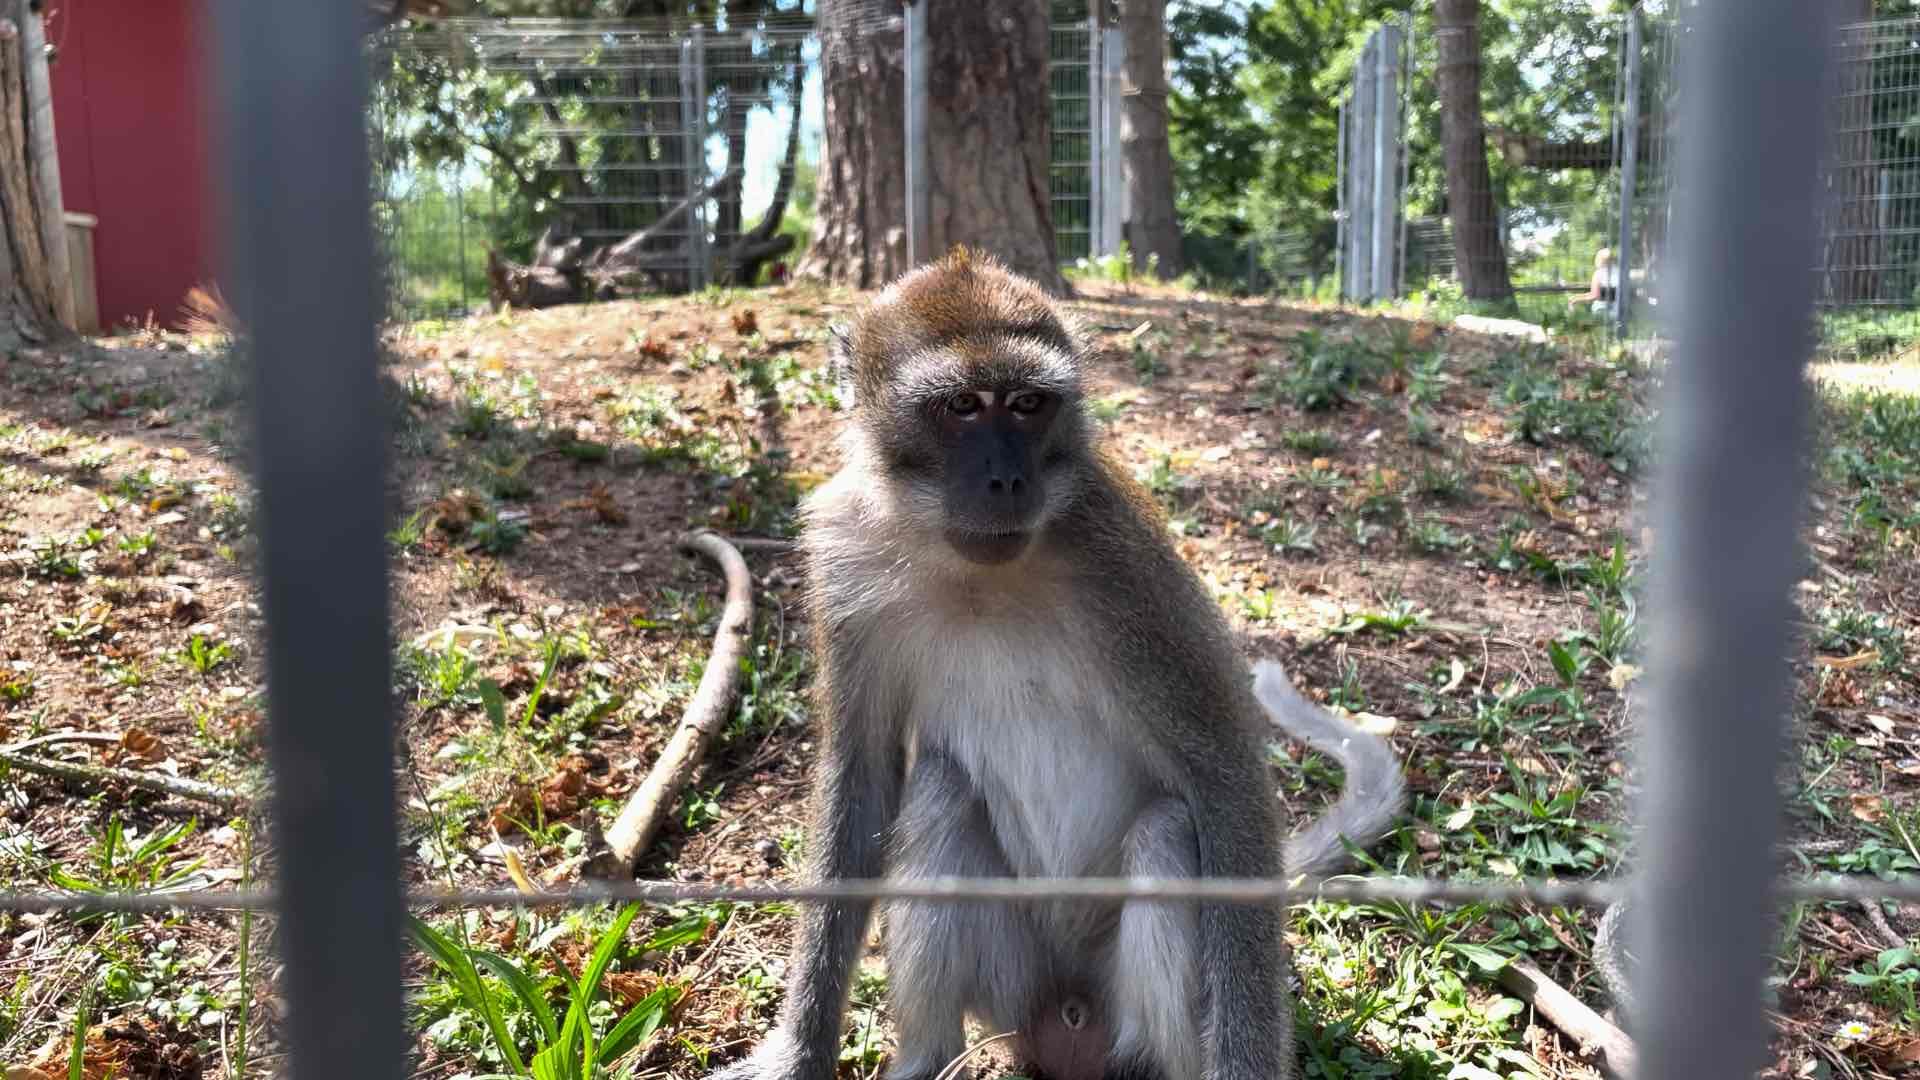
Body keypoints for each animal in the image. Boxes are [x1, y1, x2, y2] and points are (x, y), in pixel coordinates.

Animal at [714, 247, 1405, 1076]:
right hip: (1013, 988)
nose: (1008, 479)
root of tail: (1067, 1014)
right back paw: (929, 1055)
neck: (974, 572)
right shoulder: (845, 559)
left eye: (1027, 404)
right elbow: (864, 777)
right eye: (963, 407)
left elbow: (1225, 775)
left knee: (1167, 831)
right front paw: (799, 1051)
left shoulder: (1125, 568)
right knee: (940, 789)